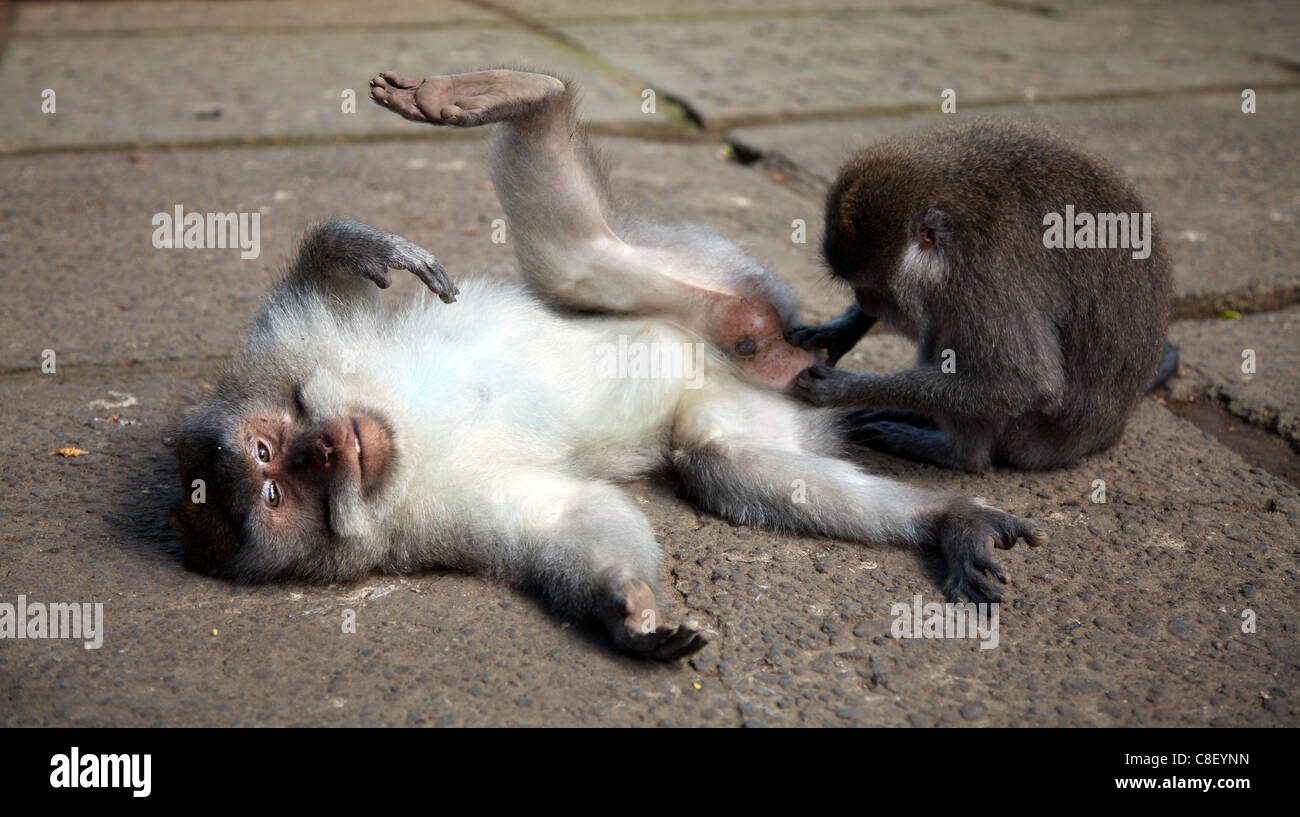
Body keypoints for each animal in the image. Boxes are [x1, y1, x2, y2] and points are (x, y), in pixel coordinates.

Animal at [172, 70, 1046, 661]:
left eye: (266, 449)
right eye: (276, 492)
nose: (325, 447)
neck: (401, 436)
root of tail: (779, 352)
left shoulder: (291, 347)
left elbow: (315, 283)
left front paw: (360, 247)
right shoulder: (436, 525)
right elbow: (574, 520)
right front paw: (627, 611)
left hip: (707, 280)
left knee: (579, 257)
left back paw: (514, 95)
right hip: (752, 389)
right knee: (722, 460)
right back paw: (944, 517)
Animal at [788, 120, 1175, 472]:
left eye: (874, 289)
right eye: (858, 289)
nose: (866, 303)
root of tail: (1104, 435)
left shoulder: (981, 283)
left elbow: (1027, 383)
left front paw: (847, 387)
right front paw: (841, 329)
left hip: (1029, 435)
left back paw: (952, 452)